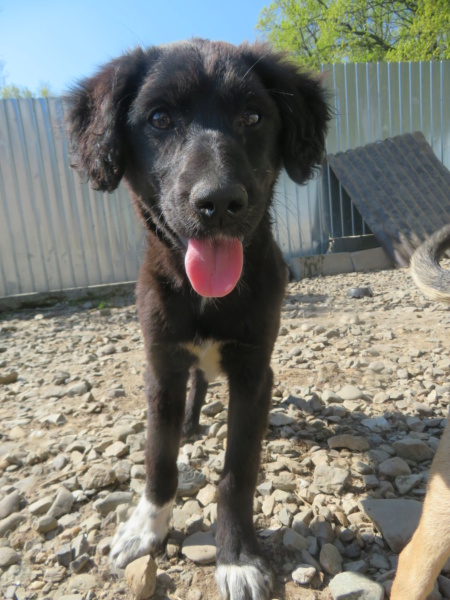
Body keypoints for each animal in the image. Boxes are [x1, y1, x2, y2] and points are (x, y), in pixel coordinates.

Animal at [66, 39, 326, 596]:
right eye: (160, 119)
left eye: (253, 115)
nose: (220, 201)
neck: (206, 297)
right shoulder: (161, 366)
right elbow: (158, 457)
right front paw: (145, 528)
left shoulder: (254, 370)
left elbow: (238, 472)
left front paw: (237, 557)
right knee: (198, 384)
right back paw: (190, 423)